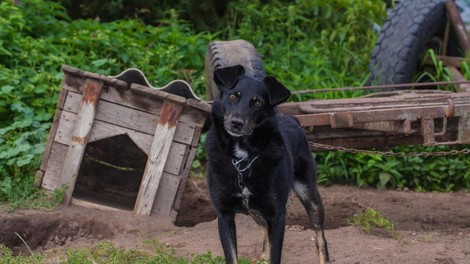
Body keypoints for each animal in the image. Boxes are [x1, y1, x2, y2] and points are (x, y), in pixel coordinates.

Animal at [206, 64, 330, 264]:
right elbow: (233, 255)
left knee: (320, 234)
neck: (243, 159)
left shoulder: (278, 214)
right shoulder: (224, 214)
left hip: (309, 195)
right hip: (256, 209)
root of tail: (292, 119)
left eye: (257, 103)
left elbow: (275, 253)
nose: (236, 123)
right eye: (233, 96)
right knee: (264, 231)